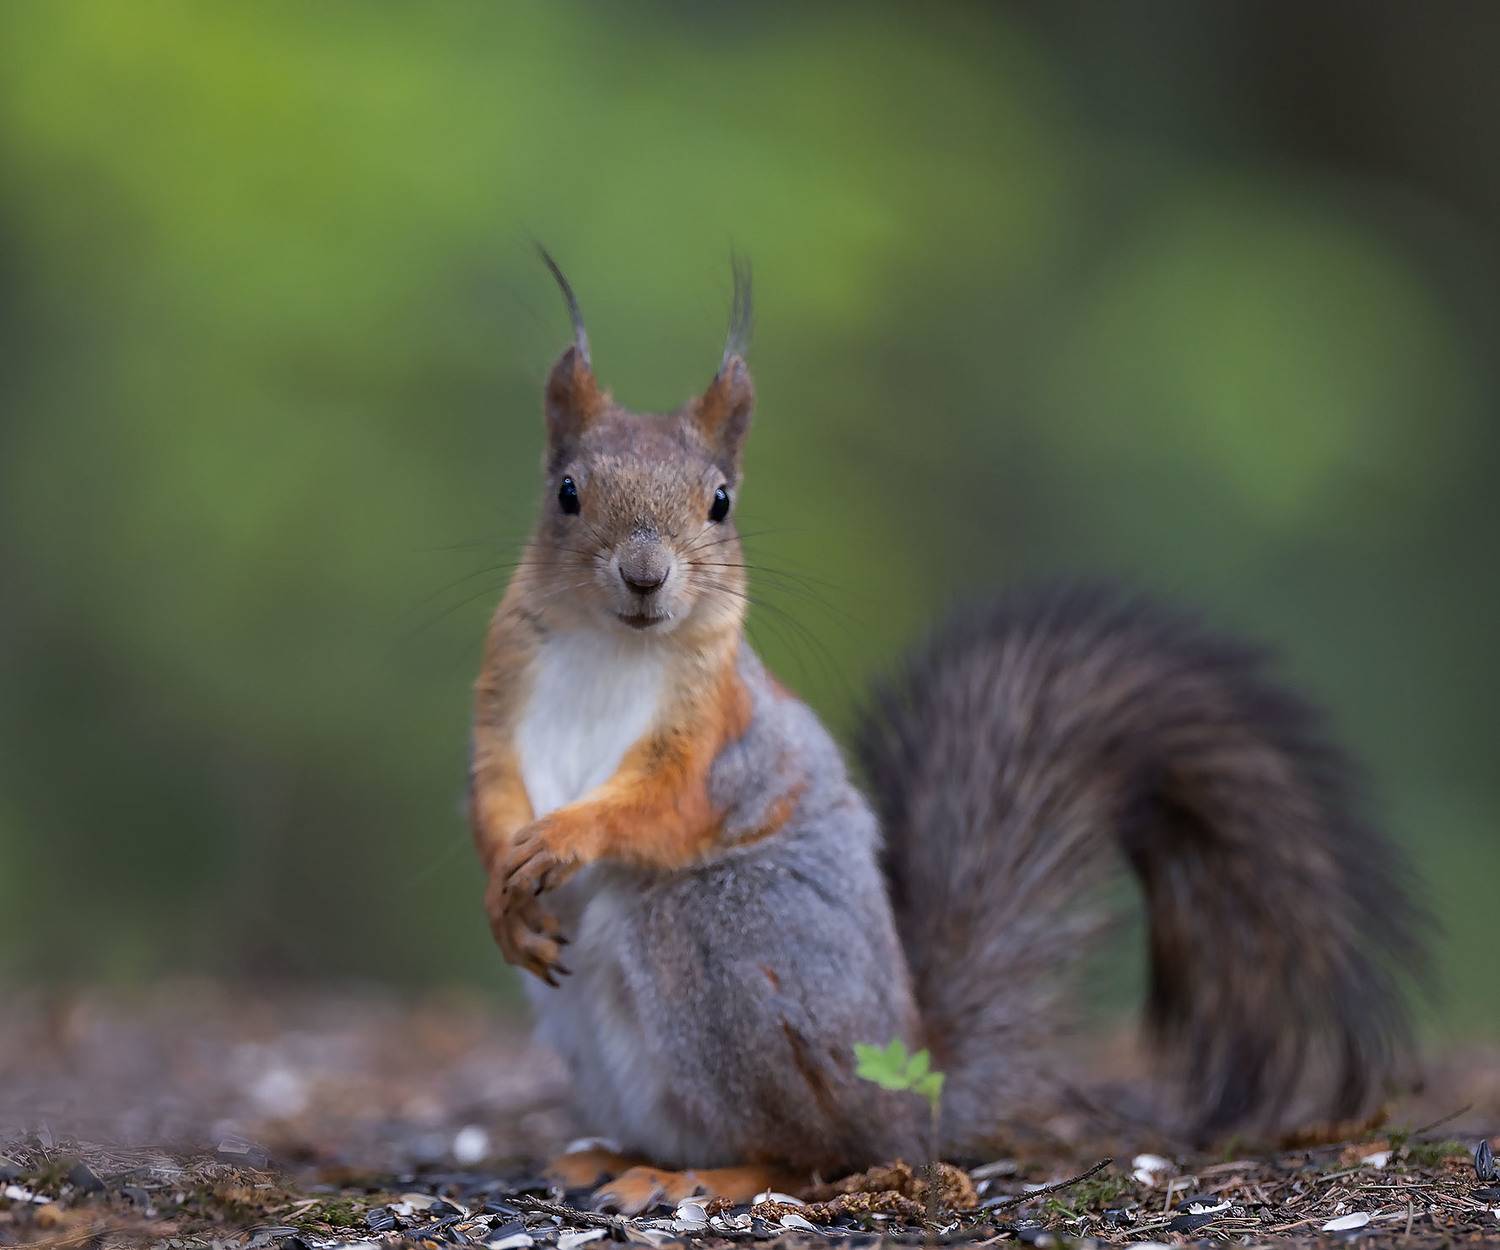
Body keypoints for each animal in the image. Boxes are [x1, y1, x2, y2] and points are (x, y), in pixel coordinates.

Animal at [468, 254, 1423, 1214]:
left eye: (722, 503)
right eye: (567, 493)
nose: (644, 575)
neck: (613, 649)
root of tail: (909, 1082)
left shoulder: (715, 742)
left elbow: (660, 806)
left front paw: (564, 837)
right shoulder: (501, 704)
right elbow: (492, 794)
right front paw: (504, 888)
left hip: (721, 950)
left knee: (813, 1153)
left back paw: (695, 1174)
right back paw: (603, 1154)